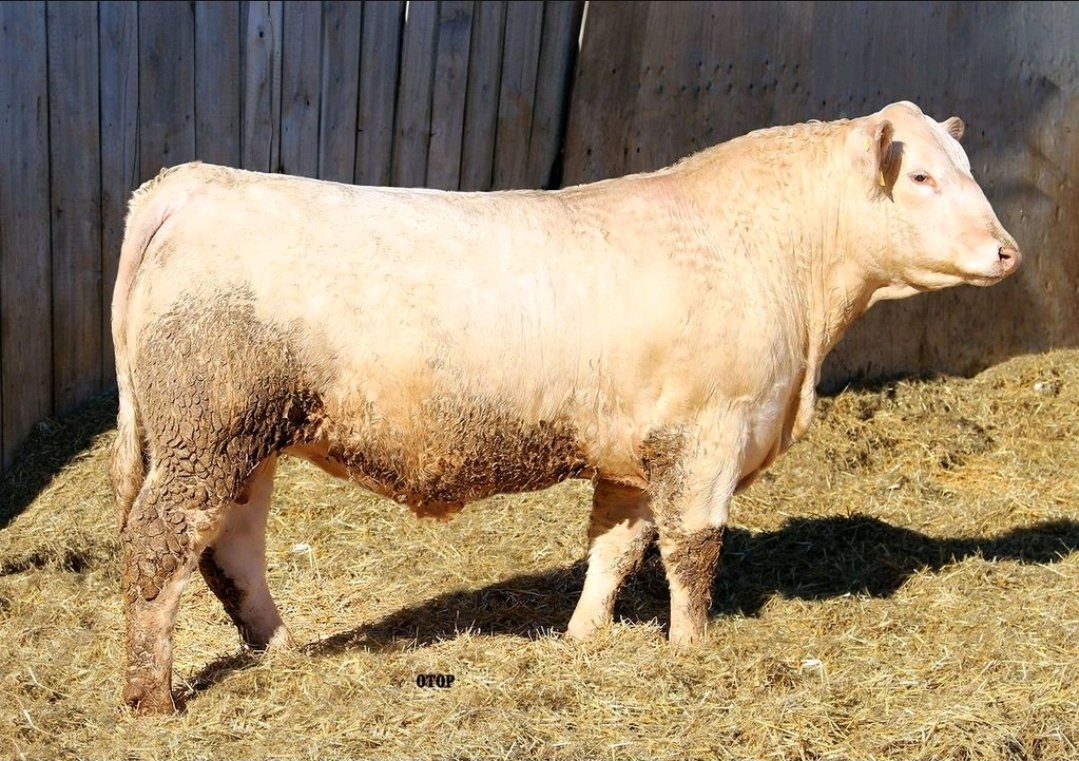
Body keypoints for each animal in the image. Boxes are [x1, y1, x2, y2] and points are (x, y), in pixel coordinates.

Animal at [112, 101, 1020, 713]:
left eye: (968, 169)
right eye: (922, 177)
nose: (1006, 250)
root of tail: (194, 182)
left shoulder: (638, 448)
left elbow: (615, 547)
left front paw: (584, 637)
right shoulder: (706, 434)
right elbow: (695, 552)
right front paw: (691, 649)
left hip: (243, 441)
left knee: (229, 550)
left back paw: (284, 650)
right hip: (209, 431)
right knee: (160, 545)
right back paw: (154, 699)